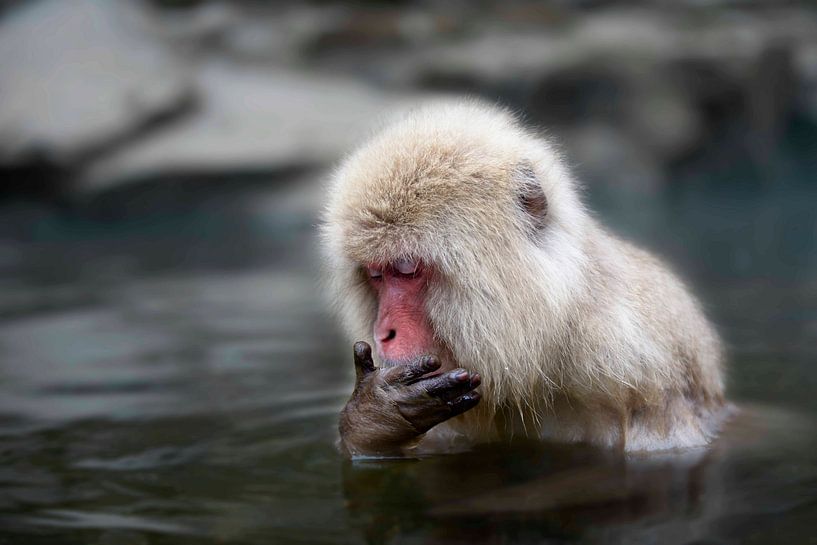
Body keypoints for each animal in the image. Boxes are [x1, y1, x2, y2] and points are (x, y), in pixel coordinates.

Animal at [318, 100, 728, 456]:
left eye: (406, 269)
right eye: (376, 275)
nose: (384, 332)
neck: (542, 351)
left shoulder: (637, 372)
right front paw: (376, 417)